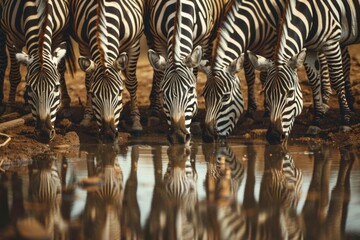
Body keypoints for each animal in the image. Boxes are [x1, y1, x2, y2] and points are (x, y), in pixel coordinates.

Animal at [0, 0, 75, 142]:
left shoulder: (59, 35)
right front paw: (10, 107)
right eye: (30, 88)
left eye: (56, 87)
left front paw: (66, 105)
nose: (44, 133)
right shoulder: (11, 38)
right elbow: (14, 75)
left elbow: (60, 69)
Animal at [70, 0, 143, 142]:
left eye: (120, 92)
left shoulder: (134, 44)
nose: (108, 135)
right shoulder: (83, 45)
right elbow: (88, 83)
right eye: (93, 94)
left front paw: (136, 122)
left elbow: (131, 83)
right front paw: (86, 118)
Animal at [145, 0, 229, 144]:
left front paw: (194, 118)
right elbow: (160, 75)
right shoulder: (158, 40)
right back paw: (154, 111)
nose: (177, 137)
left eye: (190, 90)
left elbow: (194, 73)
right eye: (163, 93)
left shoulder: (203, 40)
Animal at [198, 0, 338, 142]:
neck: (252, 20)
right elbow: (249, 77)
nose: (207, 136)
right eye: (204, 95)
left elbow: (265, 76)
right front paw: (250, 113)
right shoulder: (246, 48)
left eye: (225, 97)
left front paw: (266, 112)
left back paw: (325, 100)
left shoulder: (270, 47)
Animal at [248, 0, 360, 144]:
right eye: (266, 93)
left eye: (290, 93)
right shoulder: (310, 49)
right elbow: (314, 83)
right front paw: (316, 122)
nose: (273, 136)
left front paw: (345, 121)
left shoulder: (331, 42)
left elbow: (336, 79)